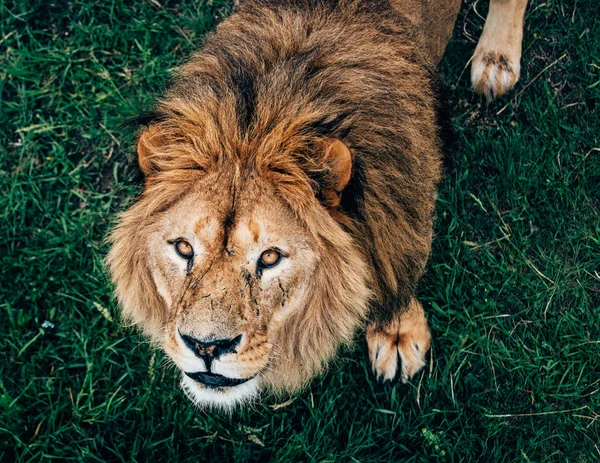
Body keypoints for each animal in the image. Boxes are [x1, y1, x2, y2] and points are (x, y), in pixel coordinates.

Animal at [106, 0, 524, 408]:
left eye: (270, 257)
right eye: (183, 248)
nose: (206, 347)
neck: (257, 121)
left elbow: (400, 272)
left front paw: (398, 334)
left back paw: (495, 62)